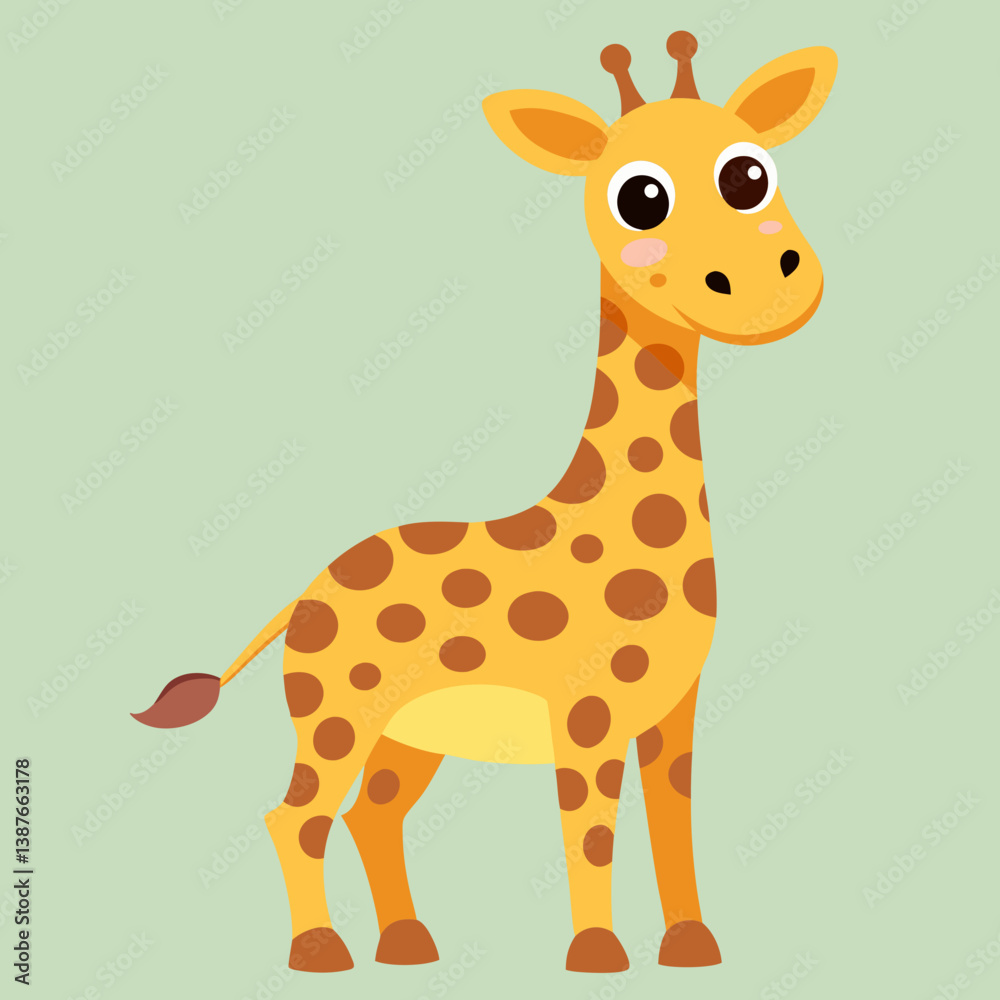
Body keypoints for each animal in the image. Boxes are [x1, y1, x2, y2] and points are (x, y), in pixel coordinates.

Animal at [133, 32, 837, 974]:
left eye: (750, 172)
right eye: (639, 196)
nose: (769, 282)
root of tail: (301, 598)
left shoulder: (673, 710)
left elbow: (673, 826)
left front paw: (692, 946)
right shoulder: (584, 713)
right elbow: (592, 832)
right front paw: (596, 954)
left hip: (407, 733)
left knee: (371, 813)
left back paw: (406, 946)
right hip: (336, 714)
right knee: (297, 814)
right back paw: (321, 952)